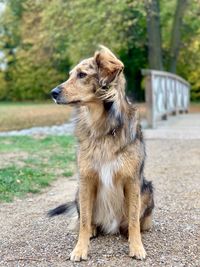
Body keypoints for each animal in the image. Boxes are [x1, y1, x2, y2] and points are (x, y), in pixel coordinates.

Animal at [49, 45, 154, 262]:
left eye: (82, 74)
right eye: (70, 75)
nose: (52, 92)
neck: (103, 128)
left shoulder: (132, 180)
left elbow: (133, 219)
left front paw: (136, 246)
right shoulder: (86, 178)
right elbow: (83, 220)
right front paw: (80, 249)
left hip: (147, 189)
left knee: (138, 221)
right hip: (78, 191)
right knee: (86, 219)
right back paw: (93, 230)